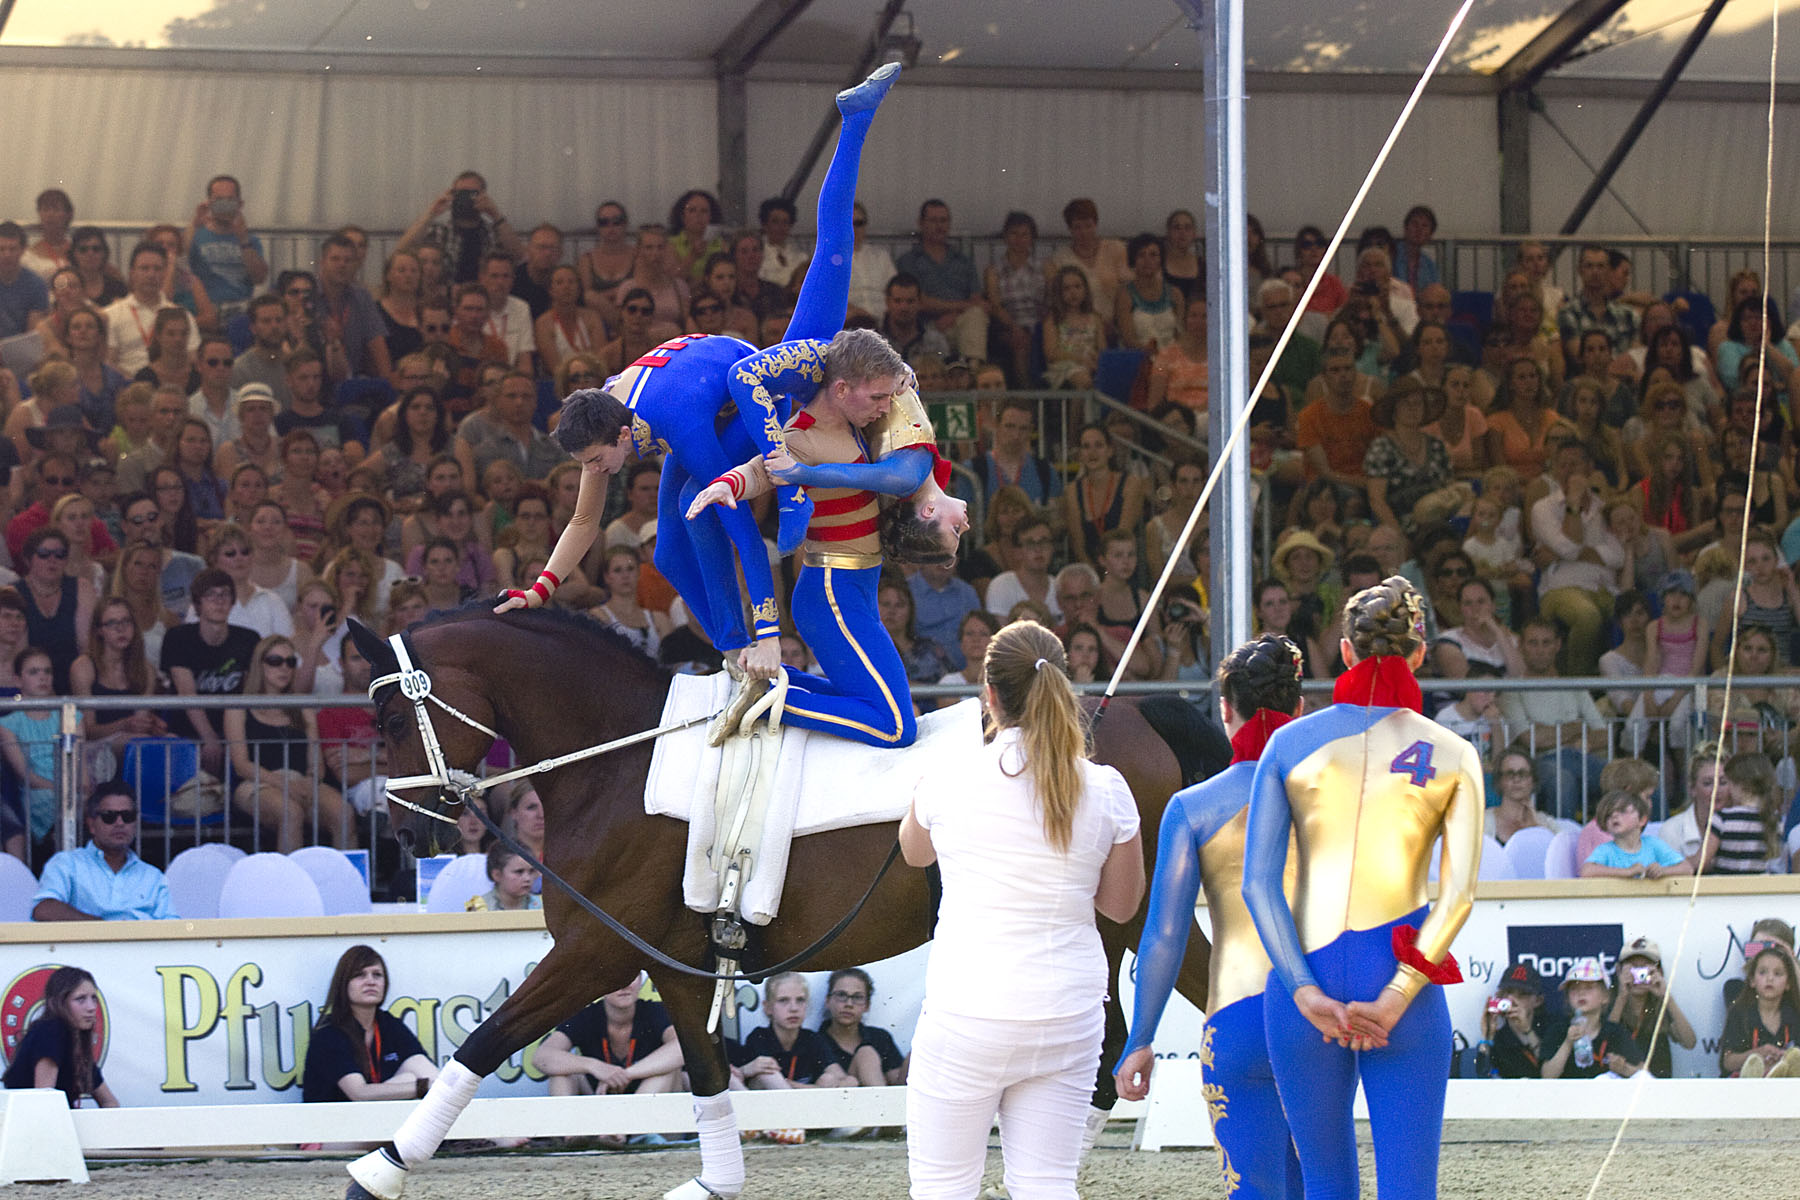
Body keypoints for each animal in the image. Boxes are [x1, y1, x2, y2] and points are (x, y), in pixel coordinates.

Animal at [340, 611, 1209, 1200]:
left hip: (1115, 920)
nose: (403, 834)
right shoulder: (675, 960)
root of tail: (1133, 714)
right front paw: (716, 1182)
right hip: (1125, 921)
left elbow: (484, 1043)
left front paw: (378, 1169)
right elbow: (706, 1071)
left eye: (391, 716)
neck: (618, 765)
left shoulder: (596, 951)